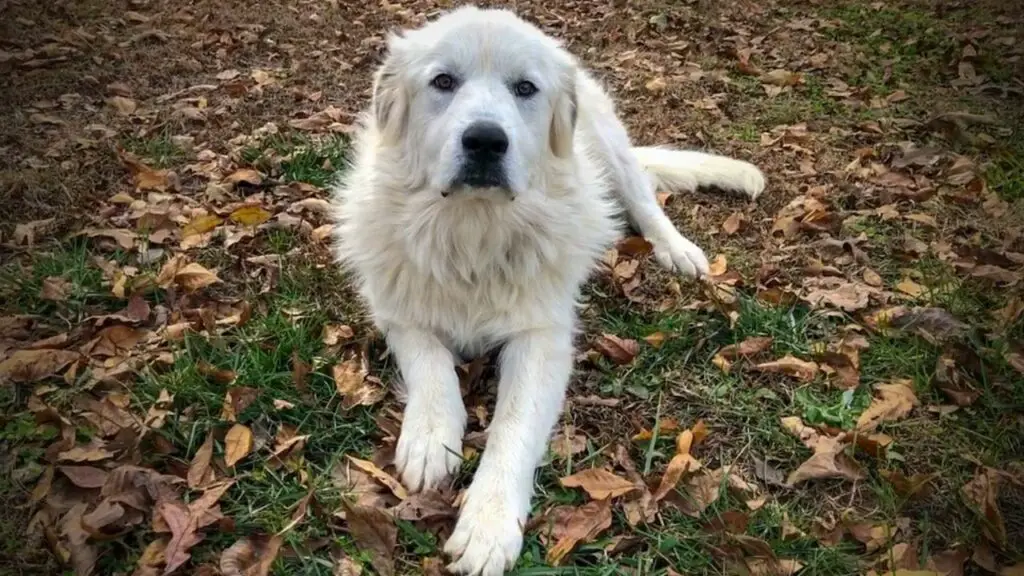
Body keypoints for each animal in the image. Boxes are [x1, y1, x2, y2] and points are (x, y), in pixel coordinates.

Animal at [331, 6, 765, 569]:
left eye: (525, 88)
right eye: (443, 81)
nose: (486, 141)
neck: (473, 230)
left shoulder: (541, 338)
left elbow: (513, 428)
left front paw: (489, 525)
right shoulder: (397, 308)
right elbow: (430, 366)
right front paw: (429, 437)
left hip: (610, 148)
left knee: (645, 203)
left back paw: (677, 250)